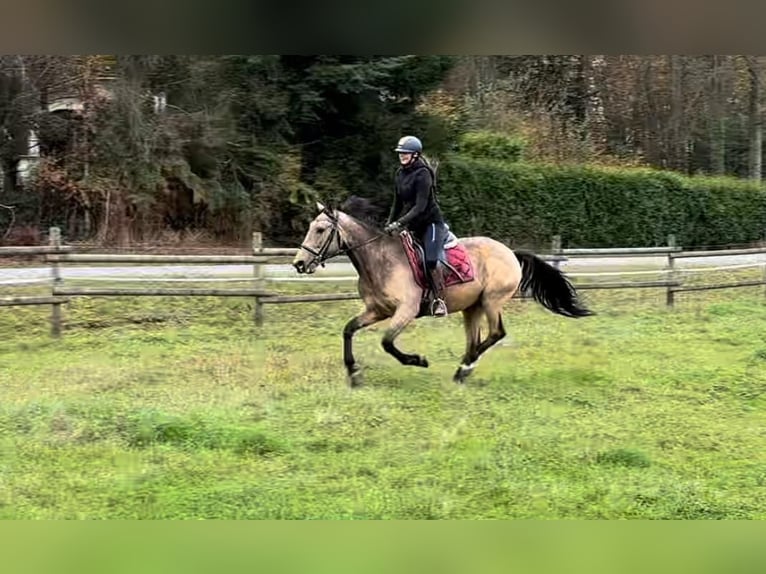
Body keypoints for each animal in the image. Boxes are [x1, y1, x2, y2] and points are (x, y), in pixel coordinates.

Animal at [292, 201, 592, 388]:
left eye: (320, 230)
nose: (299, 264)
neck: (379, 259)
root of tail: (510, 252)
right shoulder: (376, 310)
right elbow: (348, 330)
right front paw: (354, 373)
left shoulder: (406, 311)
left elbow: (387, 342)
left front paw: (418, 361)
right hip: (472, 307)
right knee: (475, 340)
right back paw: (461, 372)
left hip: (491, 301)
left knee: (496, 334)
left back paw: (466, 367)